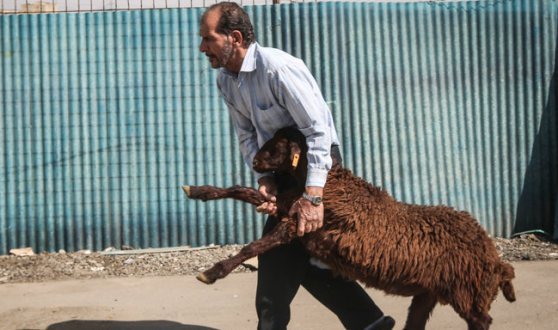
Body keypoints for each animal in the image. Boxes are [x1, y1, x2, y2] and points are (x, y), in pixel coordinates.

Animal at [184, 127, 516, 330]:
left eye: (278, 146)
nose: (254, 161)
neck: (327, 182)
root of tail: (495, 257)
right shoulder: (288, 210)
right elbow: (239, 190)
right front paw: (197, 190)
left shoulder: (298, 224)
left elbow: (252, 247)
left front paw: (212, 272)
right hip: (431, 292)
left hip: (468, 292)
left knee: (482, 321)